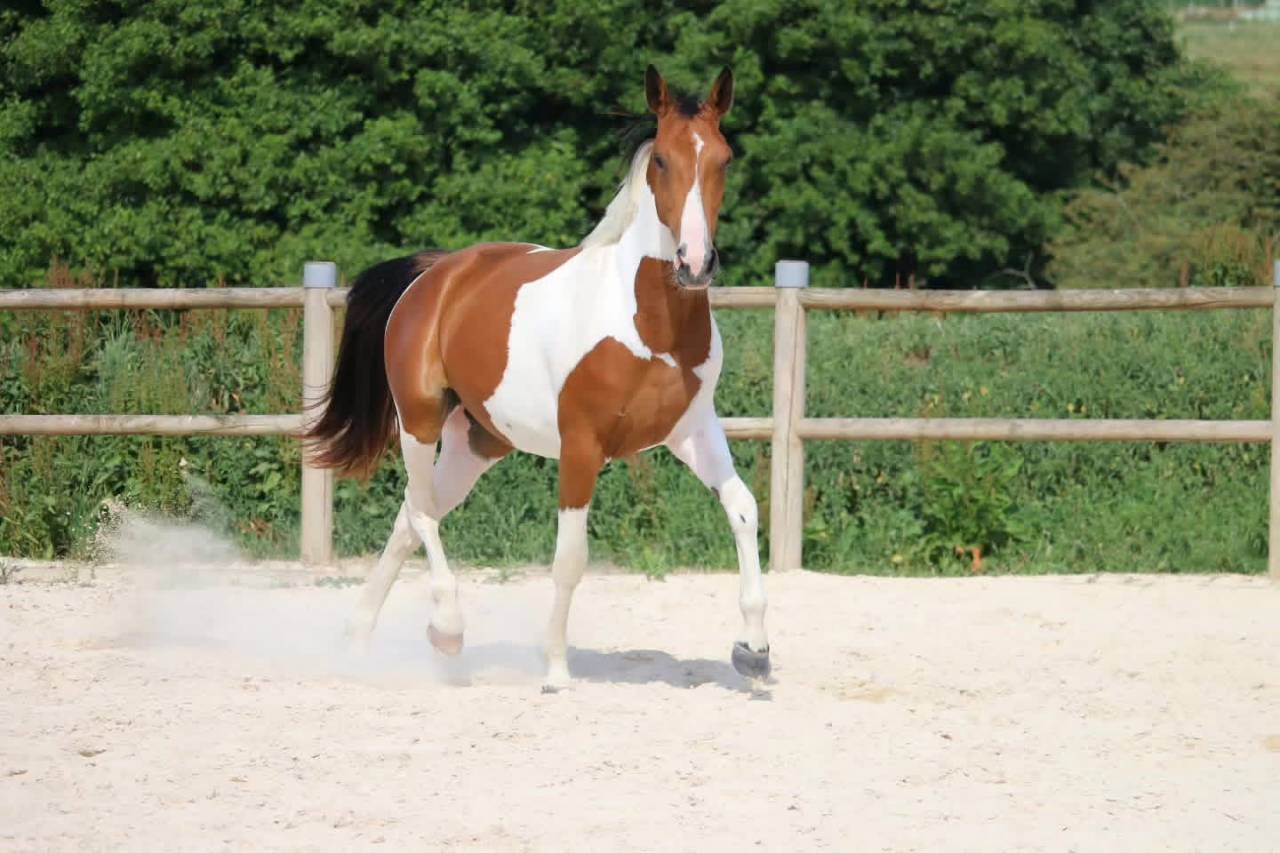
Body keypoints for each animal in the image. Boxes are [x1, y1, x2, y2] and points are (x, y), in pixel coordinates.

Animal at [307, 66, 770, 689]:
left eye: (724, 158)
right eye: (661, 161)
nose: (694, 263)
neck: (650, 326)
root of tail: (436, 273)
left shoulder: (692, 431)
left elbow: (744, 510)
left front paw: (754, 651)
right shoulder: (582, 445)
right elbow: (570, 559)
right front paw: (554, 669)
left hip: (479, 442)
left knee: (409, 515)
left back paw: (360, 642)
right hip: (419, 421)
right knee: (421, 510)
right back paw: (446, 629)